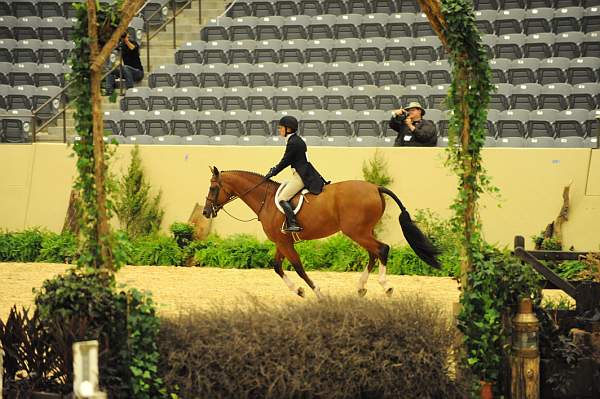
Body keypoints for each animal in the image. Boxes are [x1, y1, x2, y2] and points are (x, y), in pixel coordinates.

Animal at [204, 166, 438, 300]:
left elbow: (298, 268)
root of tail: (375, 187)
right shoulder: (282, 242)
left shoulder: (285, 243)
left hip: (356, 232)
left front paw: (317, 293)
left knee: (382, 249)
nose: (206, 212)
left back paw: (386, 287)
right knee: (373, 253)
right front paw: (299, 291)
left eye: (213, 188)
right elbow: (277, 267)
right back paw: (361, 288)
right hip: (363, 231)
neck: (266, 200)